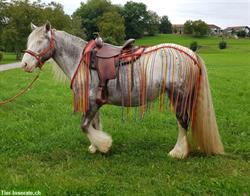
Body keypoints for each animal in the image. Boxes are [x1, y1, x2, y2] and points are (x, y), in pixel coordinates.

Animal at [21, 22, 225, 158]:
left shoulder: (92, 101)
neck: (81, 59)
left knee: (182, 121)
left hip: (179, 94)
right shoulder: (95, 102)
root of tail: (190, 54)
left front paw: (104, 145)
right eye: (29, 40)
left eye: (41, 41)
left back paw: (178, 152)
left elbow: (85, 126)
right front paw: (95, 147)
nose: (25, 64)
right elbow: (94, 124)